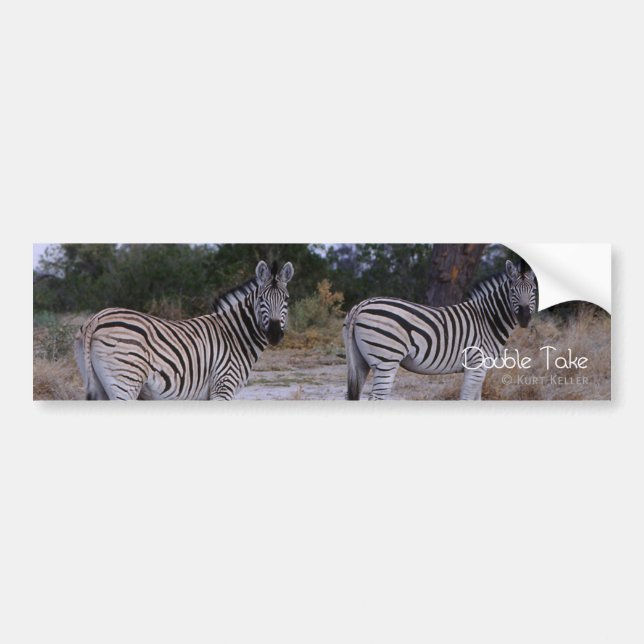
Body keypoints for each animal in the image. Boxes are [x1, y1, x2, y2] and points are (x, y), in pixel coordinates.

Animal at [74, 260, 294, 400]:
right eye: (261, 299)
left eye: (286, 299)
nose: (274, 334)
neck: (235, 336)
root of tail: (96, 318)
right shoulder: (223, 386)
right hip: (125, 382)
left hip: (97, 383)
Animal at [343, 260, 537, 400]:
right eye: (512, 291)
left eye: (534, 291)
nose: (525, 318)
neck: (488, 319)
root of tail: (361, 305)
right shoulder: (476, 365)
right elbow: (467, 398)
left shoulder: (480, 368)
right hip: (386, 360)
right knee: (377, 397)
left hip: (360, 361)